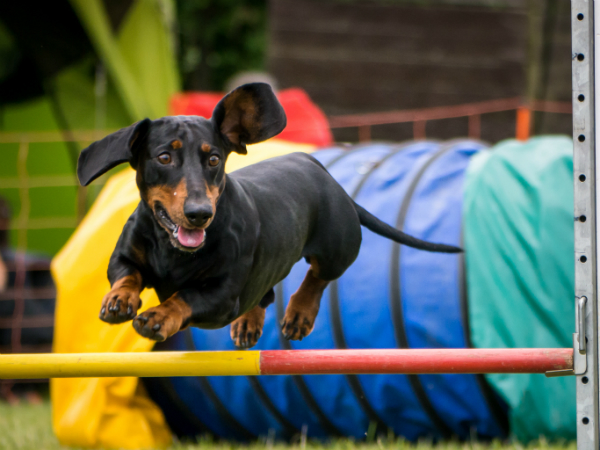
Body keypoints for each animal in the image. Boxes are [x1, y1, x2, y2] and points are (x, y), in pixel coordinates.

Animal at [76, 82, 460, 348]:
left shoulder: (222, 295)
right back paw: (250, 323)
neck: (174, 250)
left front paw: (158, 316)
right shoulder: (125, 256)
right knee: (268, 293)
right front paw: (118, 300)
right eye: (164, 157)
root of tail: (322, 171)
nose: (199, 214)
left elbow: (183, 297)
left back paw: (299, 315)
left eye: (214, 159)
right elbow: (127, 275)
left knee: (317, 277)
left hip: (338, 248)